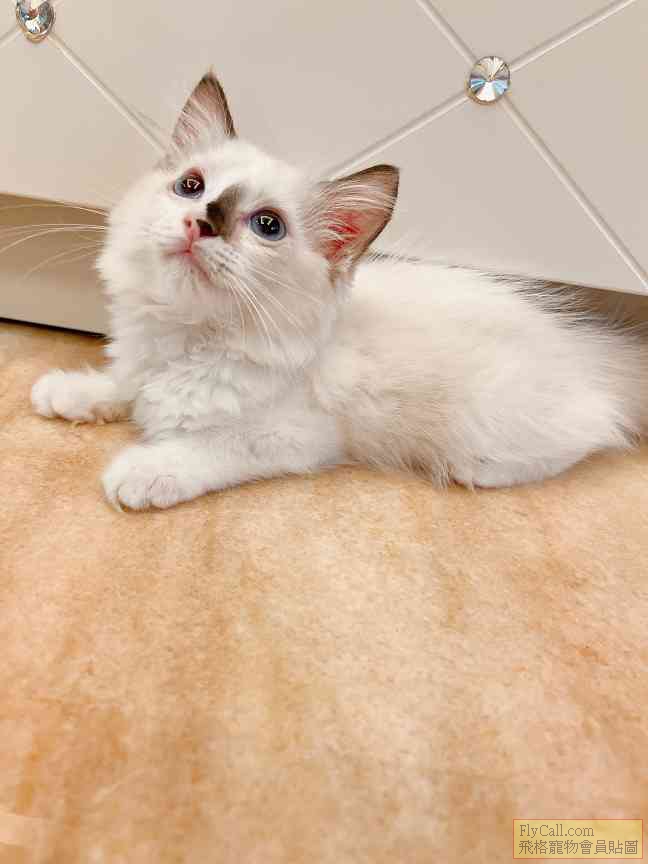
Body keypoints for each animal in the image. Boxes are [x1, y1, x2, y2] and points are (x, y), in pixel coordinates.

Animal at [31, 73, 648, 510]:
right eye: (191, 186)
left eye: (268, 226)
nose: (202, 222)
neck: (185, 339)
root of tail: (590, 348)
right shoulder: (142, 366)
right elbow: (124, 385)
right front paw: (71, 391)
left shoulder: (296, 437)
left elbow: (208, 447)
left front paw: (144, 471)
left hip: (493, 425)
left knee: (590, 432)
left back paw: (479, 472)